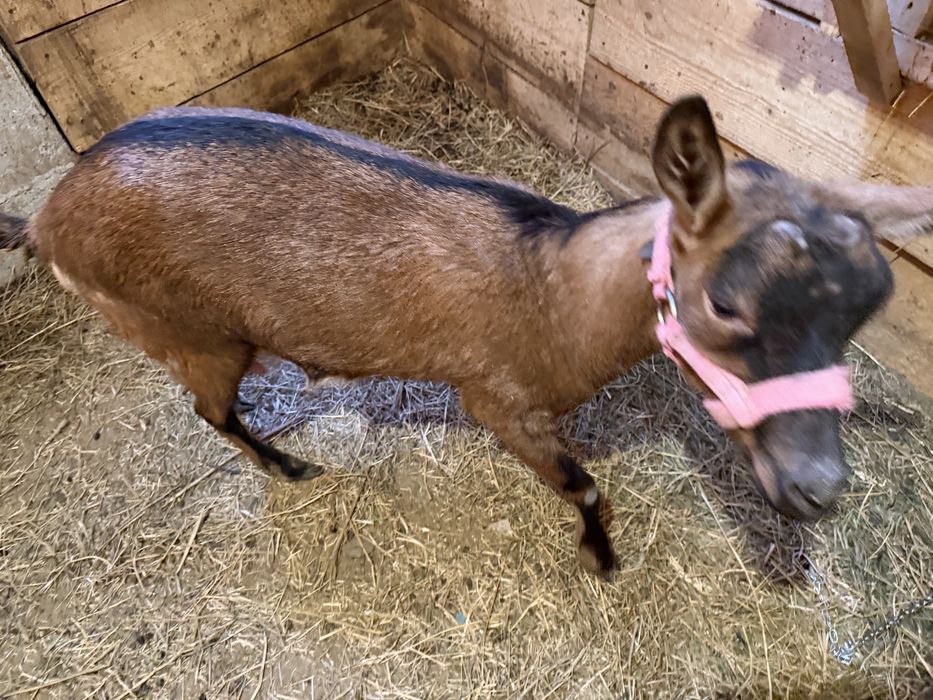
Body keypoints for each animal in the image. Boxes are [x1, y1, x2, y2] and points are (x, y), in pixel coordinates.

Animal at [3, 96, 931, 574]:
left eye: (866, 306)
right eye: (727, 306)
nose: (817, 487)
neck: (554, 292)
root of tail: (48, 218)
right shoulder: (496, 399)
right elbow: (582, 485)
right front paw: (600, 557)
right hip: (188, 331)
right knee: (210, 412)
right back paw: (289, 465)